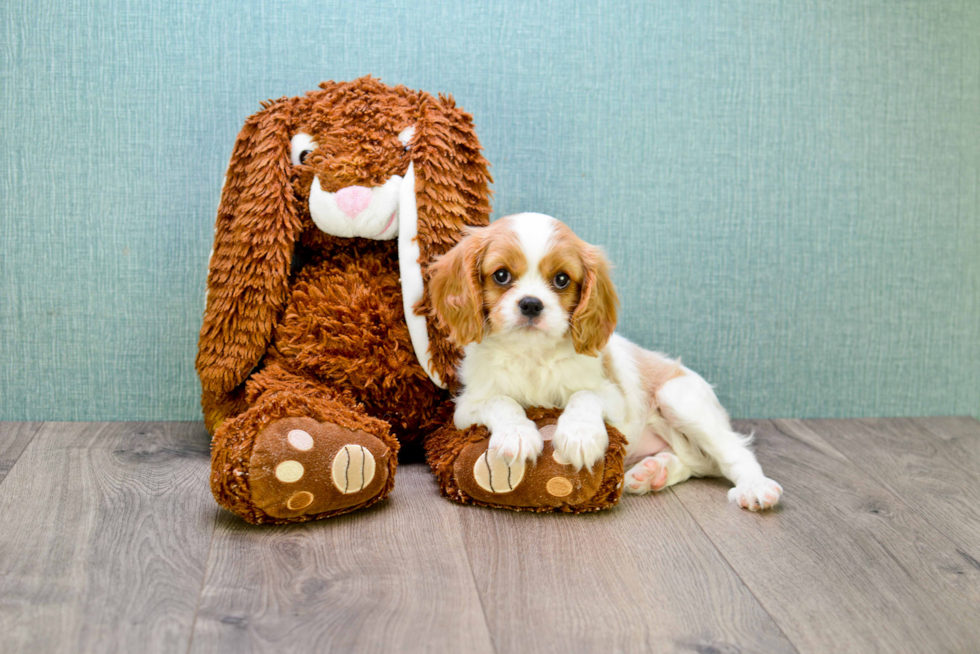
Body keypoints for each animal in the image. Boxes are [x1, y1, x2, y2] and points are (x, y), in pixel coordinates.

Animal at [432, 215, 784, 512]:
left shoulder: (614, 398)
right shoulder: (466, 408)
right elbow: (502, 400)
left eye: (562, 280)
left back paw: (754, 487)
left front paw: (580, 436)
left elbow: (583, 395)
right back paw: (653, 472)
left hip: (678, 397)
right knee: (697, 463)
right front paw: (517, 435)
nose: (531, 304)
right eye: (502, 275)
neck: (533, 355)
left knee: (729, 454)